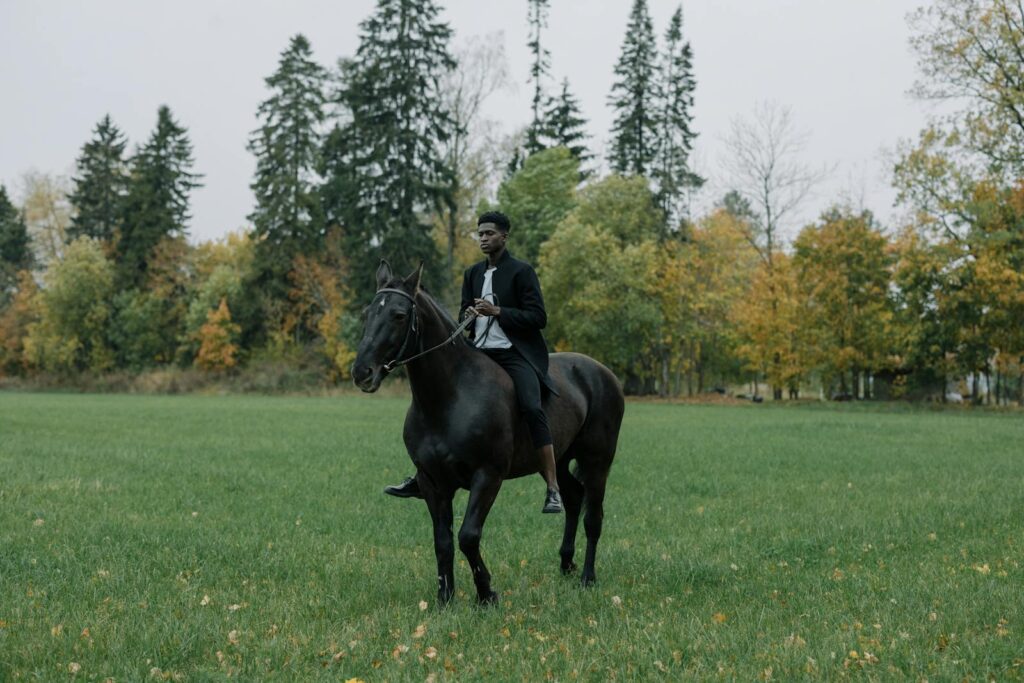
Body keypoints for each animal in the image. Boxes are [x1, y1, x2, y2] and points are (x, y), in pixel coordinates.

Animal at [351, 261, 625, 605]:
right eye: (368, 313)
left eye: (399, 315)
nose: (362, 372)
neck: (450, 396)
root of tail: (604, 373)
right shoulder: (432, 482)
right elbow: (442, 541)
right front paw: (445, 597)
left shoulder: (487, 476)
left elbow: (468, 536)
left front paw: (486, 593)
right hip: (559, 460)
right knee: (573, 498)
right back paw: (566, 564)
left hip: (598, 461)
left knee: (593, 516)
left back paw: (588, 577)